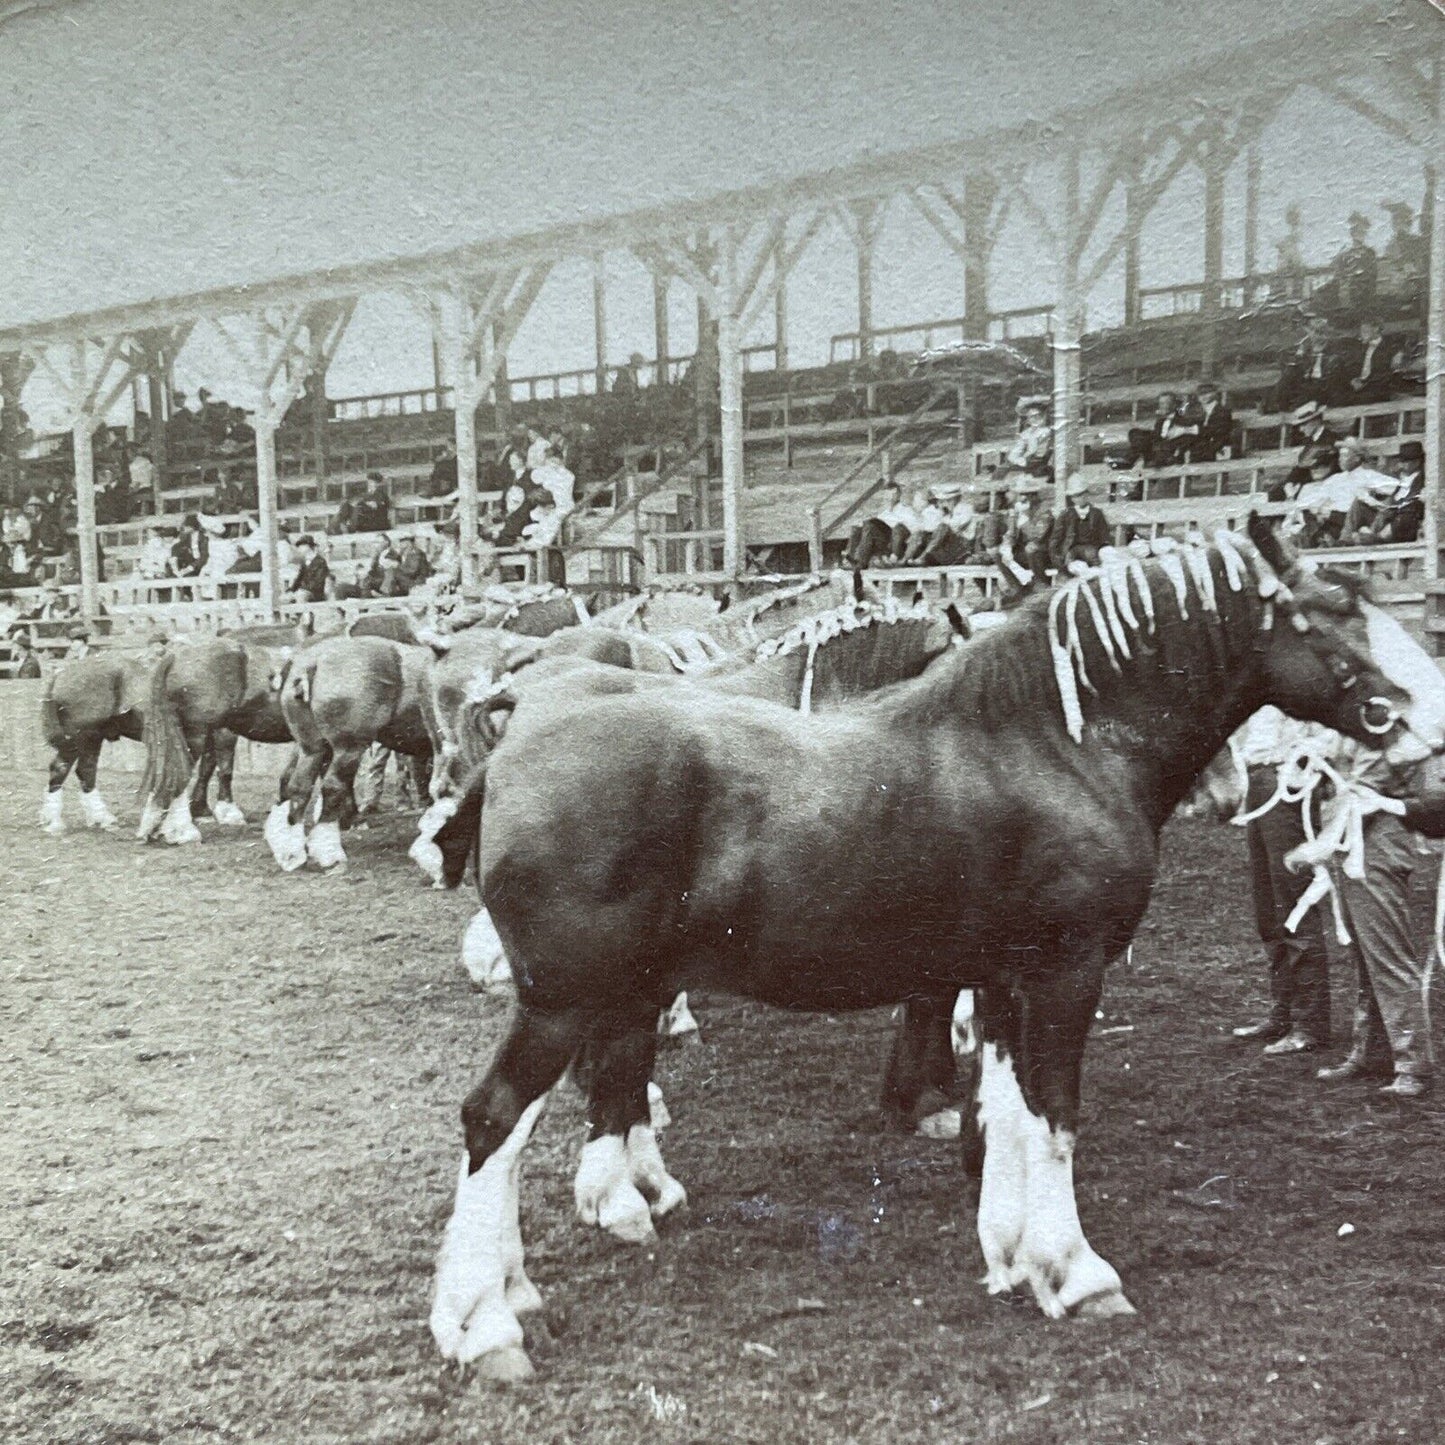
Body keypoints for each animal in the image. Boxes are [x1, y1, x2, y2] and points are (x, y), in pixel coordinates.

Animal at [430, 525, 1445, 1381]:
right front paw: (1077, 1271)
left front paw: (1011, 1254)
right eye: (1334, 613)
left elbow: (1010, 1110)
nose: (1428, 738)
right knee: (496, 1118)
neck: (1053, 742)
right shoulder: (1064, 973)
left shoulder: (1000, 977)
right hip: (564, 995)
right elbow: (1055, 1116)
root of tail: (515, 741)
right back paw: (484, 1322)